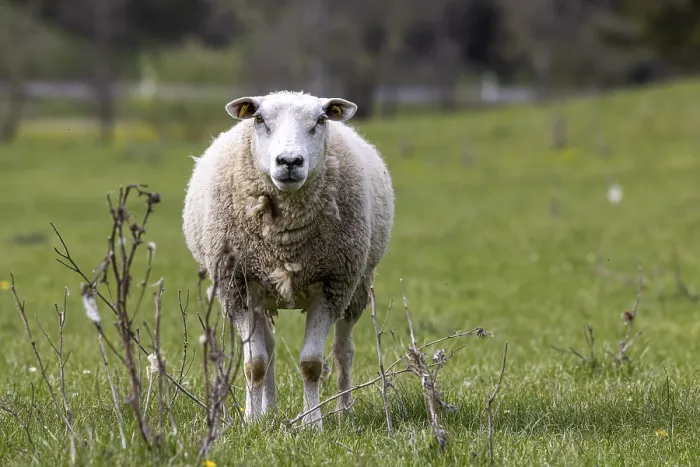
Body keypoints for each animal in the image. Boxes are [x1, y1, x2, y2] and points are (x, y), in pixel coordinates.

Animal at [182, 90, 394, 428]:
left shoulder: (332, 285)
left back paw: (344, 409)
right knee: (267, 350)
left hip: (357, 287)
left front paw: (312, 423)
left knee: (343, 350)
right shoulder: (237, 286)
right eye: (259, 119)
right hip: (262, 293)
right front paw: (252, 421)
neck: (285, 240)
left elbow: (312, 363)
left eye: (321, 119)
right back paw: (266, 410)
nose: (290, 161)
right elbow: (254, 363)